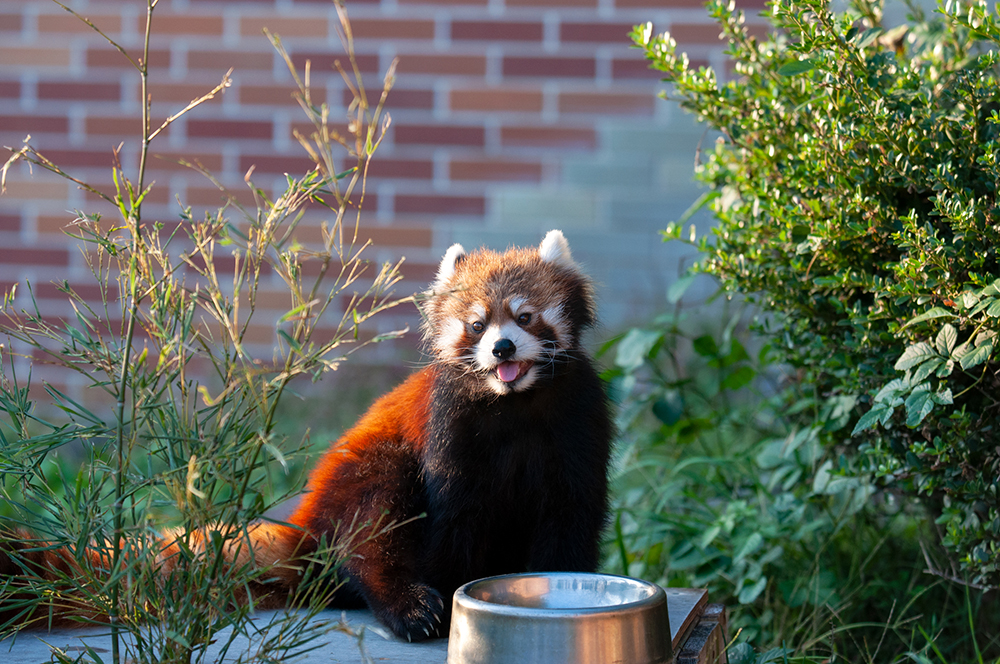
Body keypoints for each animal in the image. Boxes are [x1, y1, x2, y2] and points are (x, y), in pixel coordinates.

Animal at [0, 230, 608, 644]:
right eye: (477, 325)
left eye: (524, 317)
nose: (502, 348)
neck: (514, 403)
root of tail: (306, 527)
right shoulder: (451, 430)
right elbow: (456, 517)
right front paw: (455, 595)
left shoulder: (576, 424)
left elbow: (569, 516)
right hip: (363, 473)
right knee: (372, 525)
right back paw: (407, 604)